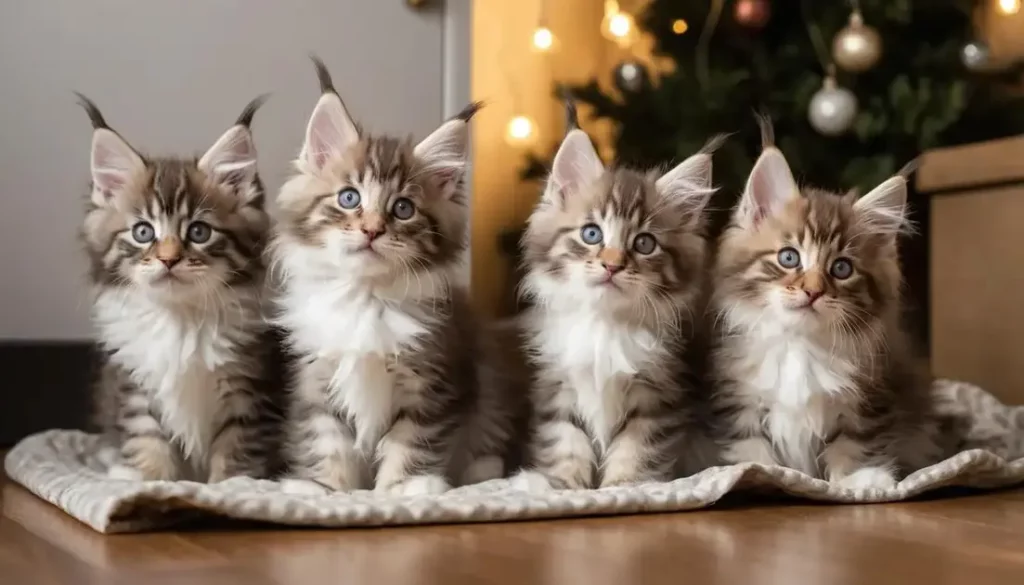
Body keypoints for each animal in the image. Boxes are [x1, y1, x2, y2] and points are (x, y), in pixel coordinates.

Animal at [81, 93, 282, 483]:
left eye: (199, 232)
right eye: (143, 232)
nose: (169, 259)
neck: (179, 318)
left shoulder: (249, 391)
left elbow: (236, 452)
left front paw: (229, 488)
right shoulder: (134, 385)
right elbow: (148, 440)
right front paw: (150, 482)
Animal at [274, 57, 520, 495]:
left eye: (403, 209)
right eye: (349, 198)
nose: (372, 230)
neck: (366, 297)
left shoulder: (437, 384)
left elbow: (412, 441)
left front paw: (404, 489)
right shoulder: (319, 383)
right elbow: (327, 442)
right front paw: (324, 489)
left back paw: (481, 470)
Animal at [512, 99, 720, 489]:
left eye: (644, 244)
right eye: (592, 234)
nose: (612, 265)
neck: (604, 324)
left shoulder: (660, 396)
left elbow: (636, 449)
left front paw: (623, 488)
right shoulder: (559, 385)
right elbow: (566, 442)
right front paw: (561, 487)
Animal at [708, 120, 937, 489]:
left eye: (841, 268)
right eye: (789, 257)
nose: (813, 291)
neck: (799, 346)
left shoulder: (870, 397)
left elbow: (854, 441)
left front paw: (861, 479)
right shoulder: (738, 401)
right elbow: (751, 448)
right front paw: (759, 474)